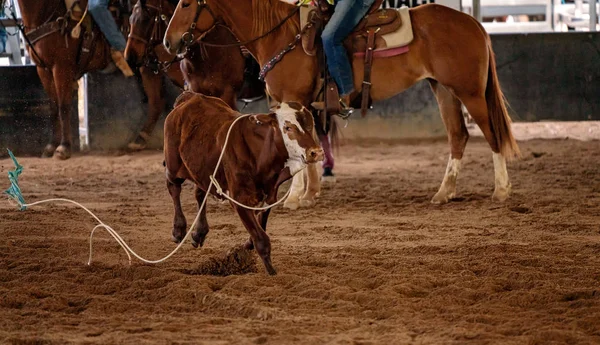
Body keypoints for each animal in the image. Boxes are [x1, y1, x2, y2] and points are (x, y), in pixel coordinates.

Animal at [163, 92, 324, 274]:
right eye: (288, 127)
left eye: (311, 125)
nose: (316, 152)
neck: (261, 151)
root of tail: (190, 97)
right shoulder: (240, 201)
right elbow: (261, 239)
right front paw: (271, 272)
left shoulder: (268, 197)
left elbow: (258, 230)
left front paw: (244, 248)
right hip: (173, 165)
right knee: (174, 188)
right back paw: (178, 229)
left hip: (203, 169)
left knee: (200, 193)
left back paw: (199, 233)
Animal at [164, 0, 520, 204]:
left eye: (186, 3)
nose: (169, 42)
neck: (279, 34)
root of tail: (473, 22)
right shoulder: (298, 105)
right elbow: (305, 145)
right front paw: (309, 194)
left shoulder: (290, 101)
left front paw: (294, 198)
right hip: (443, 90)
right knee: (458, 136)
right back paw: (444, 193)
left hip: (469, 92)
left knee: (491, 134)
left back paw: (501, 190)